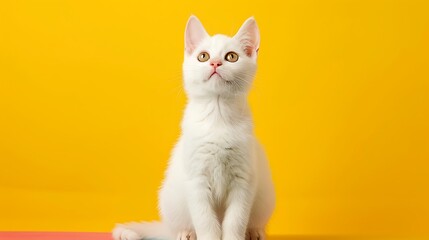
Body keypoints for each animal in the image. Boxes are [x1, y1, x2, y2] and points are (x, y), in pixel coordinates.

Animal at [112, 15, 274, 240]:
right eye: (203, 56)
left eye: (232, 57)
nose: (215, 62)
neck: (217, 117)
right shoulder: (196, 178)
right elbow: (205, 220)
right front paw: (208, 235)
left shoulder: (243, 179)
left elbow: (236, 220)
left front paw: (235, 234)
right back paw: (185, 233)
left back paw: (255, 231)